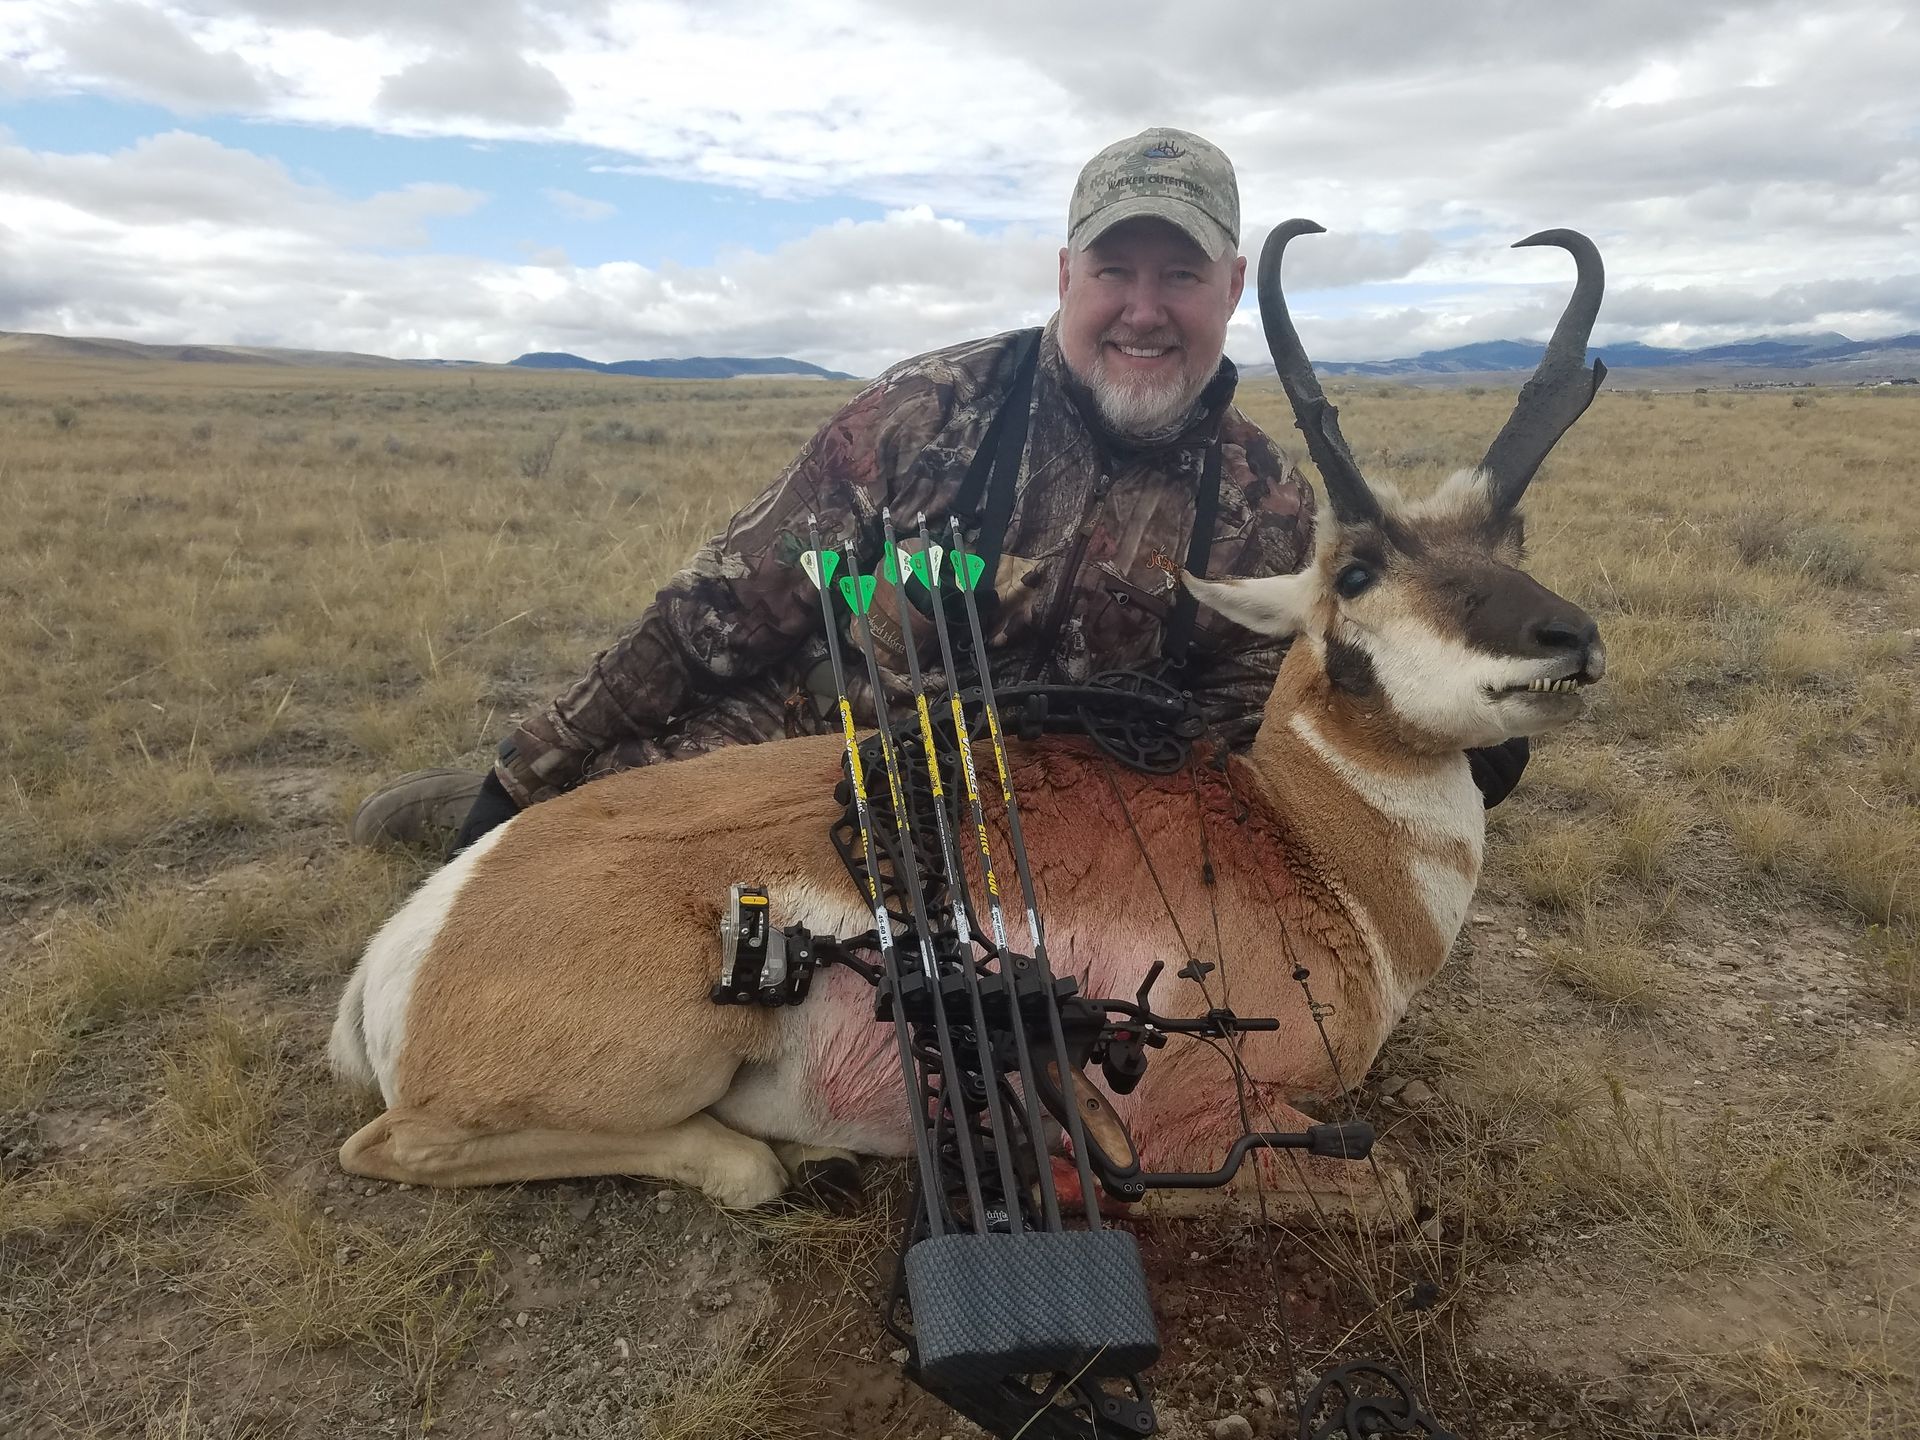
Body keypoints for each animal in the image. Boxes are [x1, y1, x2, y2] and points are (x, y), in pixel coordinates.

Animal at [328, 222, 1608, 1215]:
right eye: (1355, 571)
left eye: (1513, 540)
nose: (1572, 640)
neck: (1302, 845)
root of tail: (416, 938)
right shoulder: (1197, 1119)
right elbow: (1396, 1191)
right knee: (401, 1145)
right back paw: (776, 1157)